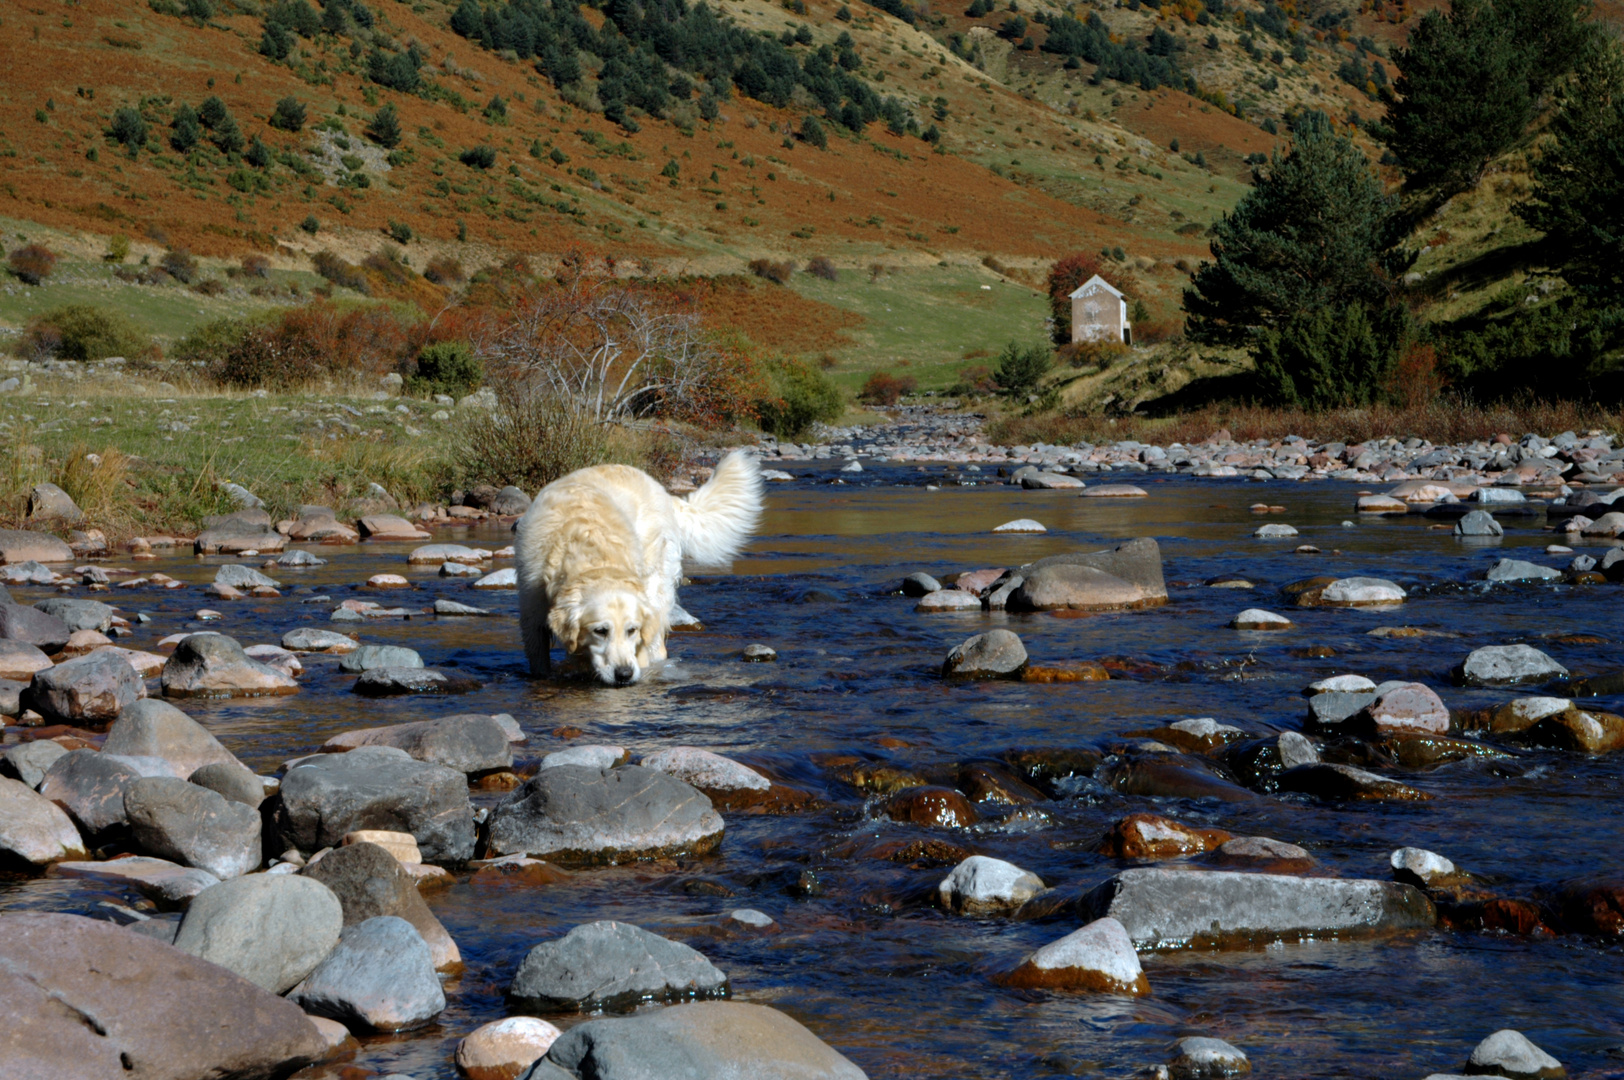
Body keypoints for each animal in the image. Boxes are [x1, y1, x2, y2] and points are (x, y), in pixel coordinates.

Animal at [516, 451, 763, 685]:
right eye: (600, 631)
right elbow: (539, 658)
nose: (624, 674)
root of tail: (663, 492)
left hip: (656, 584)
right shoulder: (532, 610)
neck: (587, 549)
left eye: (631, 630)